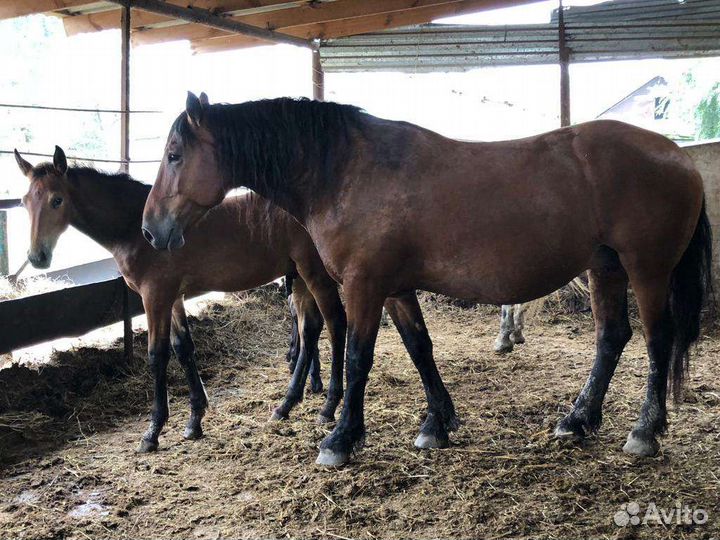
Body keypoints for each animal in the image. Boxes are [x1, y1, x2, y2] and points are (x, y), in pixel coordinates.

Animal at [14, 146, 350, 452]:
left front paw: (153, 432)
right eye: (24, 201)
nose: (38, 257)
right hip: (300, 277)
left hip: (314, 273)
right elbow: (183, 348)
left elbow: (157, 355)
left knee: (335, 324)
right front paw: (194, 420)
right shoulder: (173, 297)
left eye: (57, 200)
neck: (136, 230)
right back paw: (286, 404)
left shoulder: (155, 297)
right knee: (309, 330)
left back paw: (329, 407)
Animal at [142, 93, 712, 466]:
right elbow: (420, 349)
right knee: (611, 337)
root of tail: (677, 156)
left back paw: (645, 430)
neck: (346, 172)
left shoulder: (364, 286)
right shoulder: (394, 288)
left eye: (174, 154)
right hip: (605, 267)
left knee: (656, 340)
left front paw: (341, 438)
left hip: (646, 268)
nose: (151, 229)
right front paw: (438, 423)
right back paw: (578, 420)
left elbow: (358, 357)